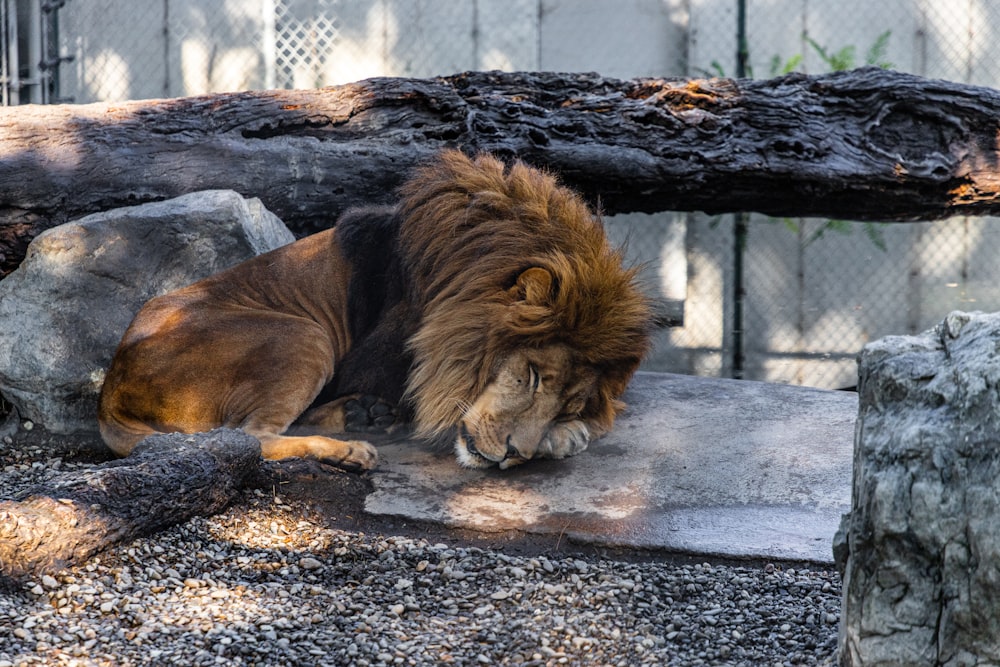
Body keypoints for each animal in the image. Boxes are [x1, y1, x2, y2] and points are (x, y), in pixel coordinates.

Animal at [99, 150, 656, 474]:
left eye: (567, 402)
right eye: (535, 377)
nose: (513, 455)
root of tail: (111, 390)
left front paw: (564, 433)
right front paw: (566, 438)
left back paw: (361, 416)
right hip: (303, 334)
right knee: (248, 436)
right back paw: (350, 449)